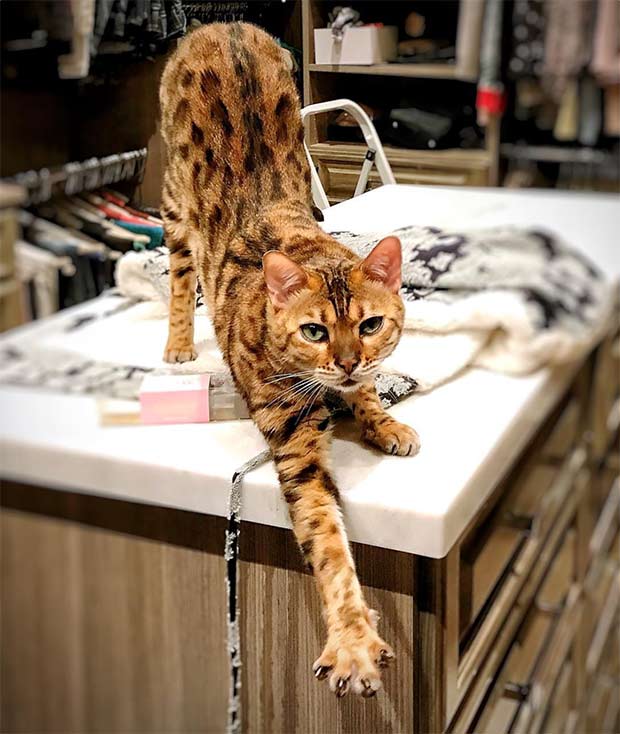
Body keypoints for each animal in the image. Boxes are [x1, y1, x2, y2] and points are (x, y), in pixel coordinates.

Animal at [160, 24, 422, 700]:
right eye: (313, 330)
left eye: (370, 325)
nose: (349, 362)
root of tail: (219, 25)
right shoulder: (293, 439)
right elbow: (326, 538)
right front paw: (353, 640)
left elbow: (369, 394)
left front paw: (384, 420)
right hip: (172, 200)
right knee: (179, 274)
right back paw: (177, 341)